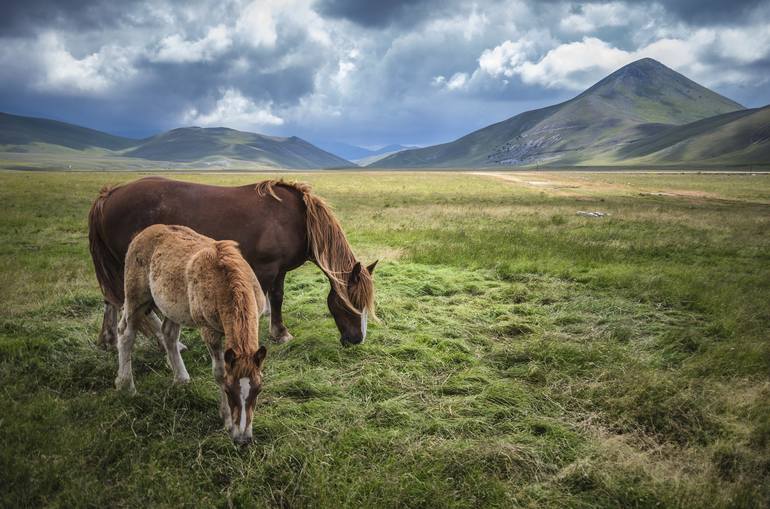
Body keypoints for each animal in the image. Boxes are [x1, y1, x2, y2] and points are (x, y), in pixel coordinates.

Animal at [88, 177, 376, 348]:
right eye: (352, 304)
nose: (356, 340)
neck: (298, 220)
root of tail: (110, 193)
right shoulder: (266, 269)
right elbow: (261, 302)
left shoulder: (279, 270)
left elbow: (278, 298)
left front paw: (280, 333)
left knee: (112, 301)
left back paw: (109, 339)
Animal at [116, 224, 268, 442]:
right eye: (228, 390)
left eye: (258, 389)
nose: (243, 440)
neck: (225, 280)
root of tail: (142, 233)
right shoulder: (209, 331)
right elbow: (219, 372)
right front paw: (227, 421)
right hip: (136, 298)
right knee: (125, 333)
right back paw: (126, 385)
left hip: (173, 307)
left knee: (168, 334)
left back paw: (181, 379)